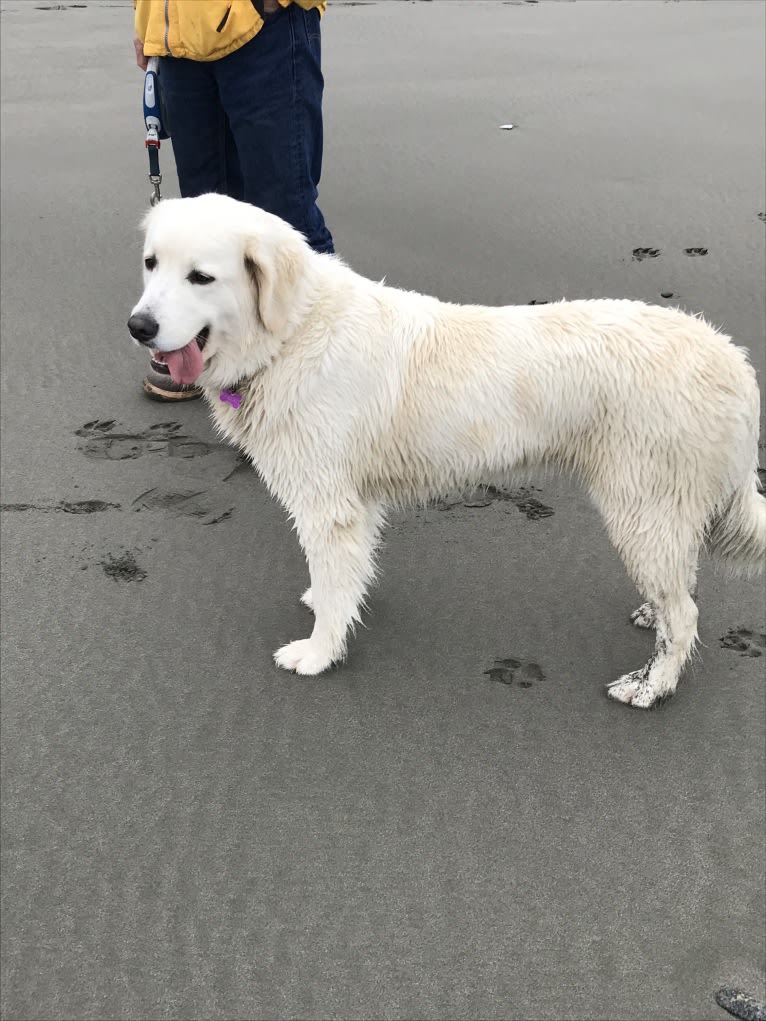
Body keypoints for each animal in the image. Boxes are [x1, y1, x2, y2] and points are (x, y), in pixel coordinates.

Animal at [129, 191, 763, 706]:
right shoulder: (355, 502)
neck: (291, 335)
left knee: (685, 614)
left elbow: (333, 583)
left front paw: (316, 654)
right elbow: (343, 578)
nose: (138, 327)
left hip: (640, 506)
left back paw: (652, 686)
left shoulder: (328, 504)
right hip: (658, 510)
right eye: (151, 263)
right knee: (681, 578)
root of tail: (735, 362)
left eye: (201, 277)